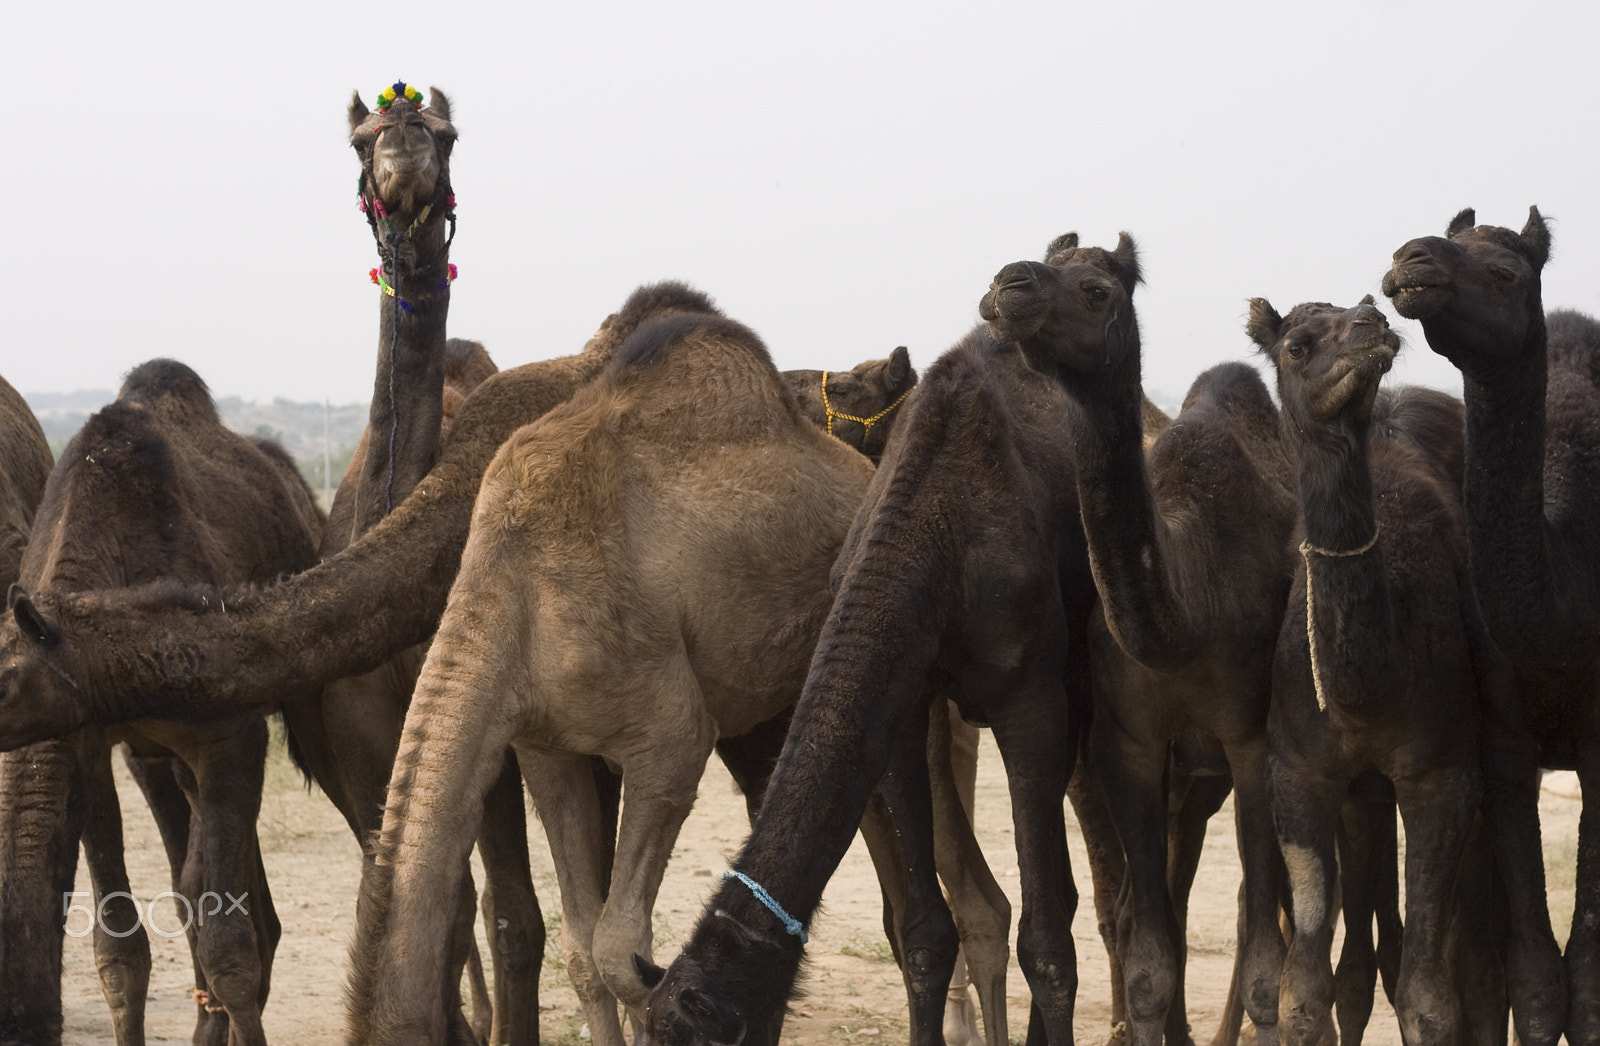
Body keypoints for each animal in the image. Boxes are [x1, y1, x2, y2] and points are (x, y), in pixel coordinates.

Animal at [985, 231, 1299, 1046]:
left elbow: (1263, 957)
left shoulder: (1253, 741)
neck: (1189, 610)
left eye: (1097, 290)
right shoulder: (1126, 744)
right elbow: (1149, 952)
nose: (1008, 285)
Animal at [1248, 294, 1484, 1046]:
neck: (1370, 689)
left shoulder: (1443, 775)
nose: (1371, 324)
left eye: (1363, 307)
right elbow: (1303, 992)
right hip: (1359, 793)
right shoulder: (1299, 772)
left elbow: (1429, 1000)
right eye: (1296, 343)